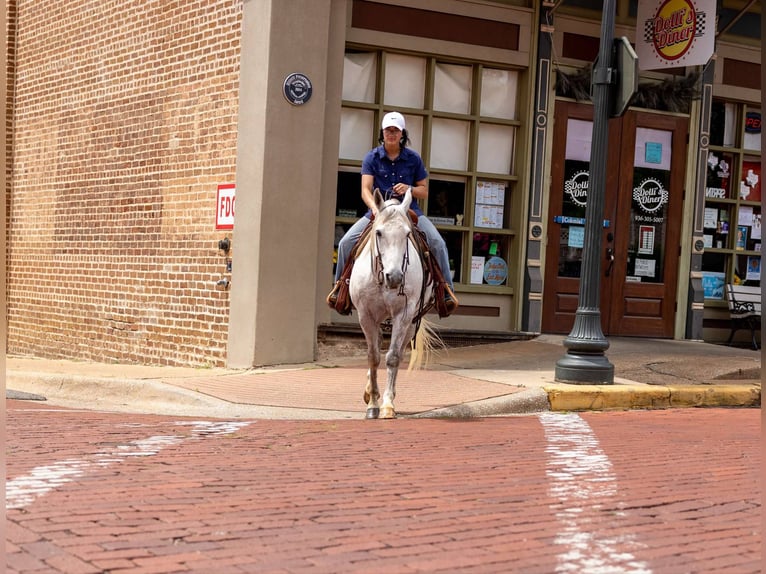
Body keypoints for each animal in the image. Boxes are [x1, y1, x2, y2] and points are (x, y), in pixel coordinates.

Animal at [349, 187, 439, 420]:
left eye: (407, 234)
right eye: (379, 233)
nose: (396, 277)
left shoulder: (404, 314)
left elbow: (393, 357)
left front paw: (388, 405)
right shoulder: (366, 315)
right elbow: (373, 357)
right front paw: (372, 404)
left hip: (411, 323)